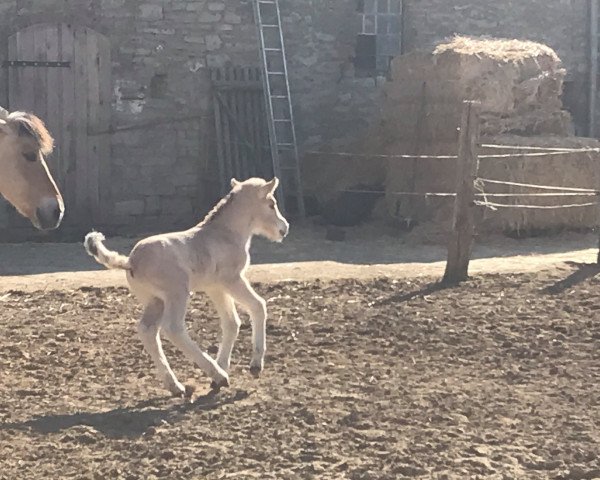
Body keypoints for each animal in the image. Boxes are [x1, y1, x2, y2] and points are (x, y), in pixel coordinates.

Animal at [85, 178, 290, 396]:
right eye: (271, 204)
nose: (284, 228)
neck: (225, 234)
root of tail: (131, 261)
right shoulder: (232, 280)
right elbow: (258, 306)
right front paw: (254, 366)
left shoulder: (215, 287)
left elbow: (231, 322)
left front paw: (220, 371)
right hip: (177, 292)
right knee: (173, 328)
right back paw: (216, 375)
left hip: (155, 300)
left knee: (147, 330)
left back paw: (177, 386)